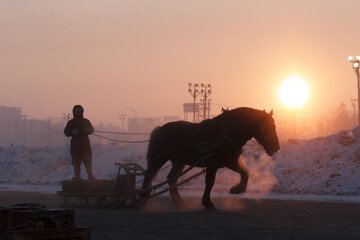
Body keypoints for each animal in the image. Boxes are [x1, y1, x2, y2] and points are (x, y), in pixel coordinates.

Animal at [140, 107, 278, 210]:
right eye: (266, 126)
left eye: (275, 126)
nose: (276, 147)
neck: (224, 133)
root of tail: (159, 129)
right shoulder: (212, 164)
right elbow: (210, 183)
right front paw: (208, 203)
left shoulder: (230, 161)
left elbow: (245, 173)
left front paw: (237, 189)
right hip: (158, 159)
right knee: (149, 175)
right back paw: (142, 198)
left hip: (179, 162)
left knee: (171, 178)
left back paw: (178, 203)